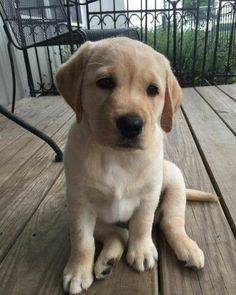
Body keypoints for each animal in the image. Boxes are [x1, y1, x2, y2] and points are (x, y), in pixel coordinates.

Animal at [55, 37, 216, 295]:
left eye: (153, 90)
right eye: (105, 82)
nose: (131, 124)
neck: (117, 156)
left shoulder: (148, 197)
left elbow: (141, 225)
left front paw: (141, 251)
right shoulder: (80, 204)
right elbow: (82, 241)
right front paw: (78, 271)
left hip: (174, 182)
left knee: (170, 223)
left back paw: (188, 248)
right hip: (86, 214)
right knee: (119, 231)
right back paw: (107, 261)